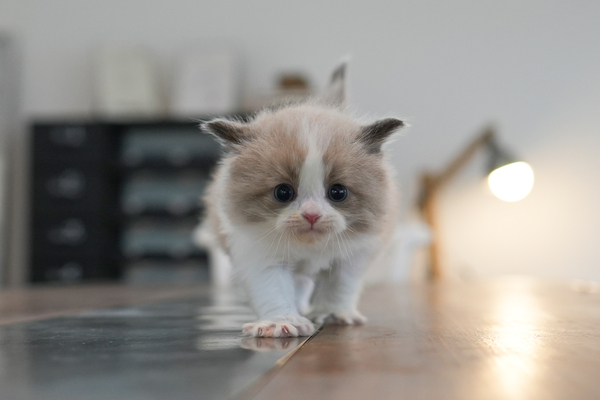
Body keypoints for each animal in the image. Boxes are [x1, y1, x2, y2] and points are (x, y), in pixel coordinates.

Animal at [200, 62, 403, 338]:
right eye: (283, 193)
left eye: (338, 192)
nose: (311, 215)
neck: (310, 247)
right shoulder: (259, 255)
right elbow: (273, 291)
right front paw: (282, 322)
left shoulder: (354, 254)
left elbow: (340, 286)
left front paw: (333, 314)